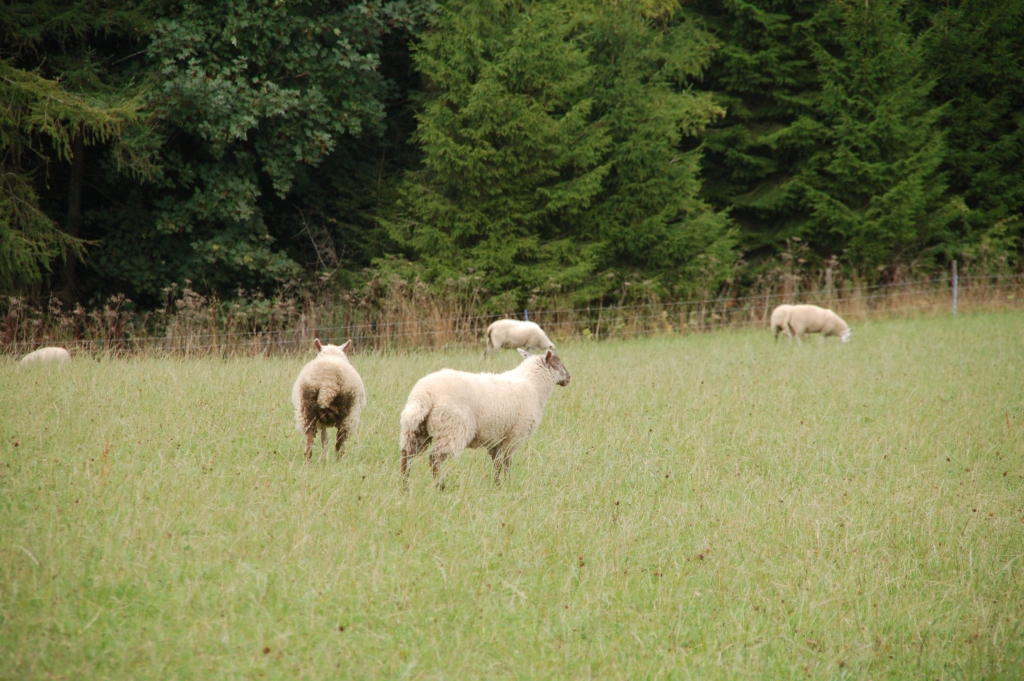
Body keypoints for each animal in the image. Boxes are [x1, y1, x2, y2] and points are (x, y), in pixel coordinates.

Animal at [399, 348, 573, 485]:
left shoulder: (496, 438)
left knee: (406, 455)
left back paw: (405, 487)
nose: (569, 378)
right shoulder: (514, 436)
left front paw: (497, 485)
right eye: (557, 363)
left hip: (416, 428)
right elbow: (507, 463)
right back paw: (439, 487)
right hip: (451, 429)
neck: (533, 385)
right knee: (434, 459)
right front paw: (506, 485)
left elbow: (496, 464)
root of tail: (424, 394)